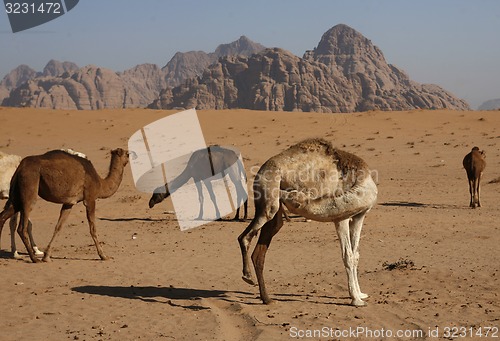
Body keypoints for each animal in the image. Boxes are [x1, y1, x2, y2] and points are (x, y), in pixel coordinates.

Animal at [0, 147, 131, 262]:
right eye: (127, 154)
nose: (132, 154)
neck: (100, 183)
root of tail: (20, 167)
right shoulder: (90, 199)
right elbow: (93, 228)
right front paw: (103, 256)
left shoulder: (69, 203)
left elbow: (58, 227)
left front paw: (47, 256)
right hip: (29, 186)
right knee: (22, 227)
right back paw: (34, 258)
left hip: (16, 194)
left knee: (3, 216)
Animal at [237, 138, 376, 306]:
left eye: (294, 198)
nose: (283, 192)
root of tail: (261, 171)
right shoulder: (341, 217)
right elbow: (347, 256)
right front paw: (355, 299)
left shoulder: (358, 216)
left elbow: (355, 255)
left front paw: (361, 294)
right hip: (269, 201)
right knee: (245, 236)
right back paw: (247, 277)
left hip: (274, 210)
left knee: (263, 246)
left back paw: (267, 299)